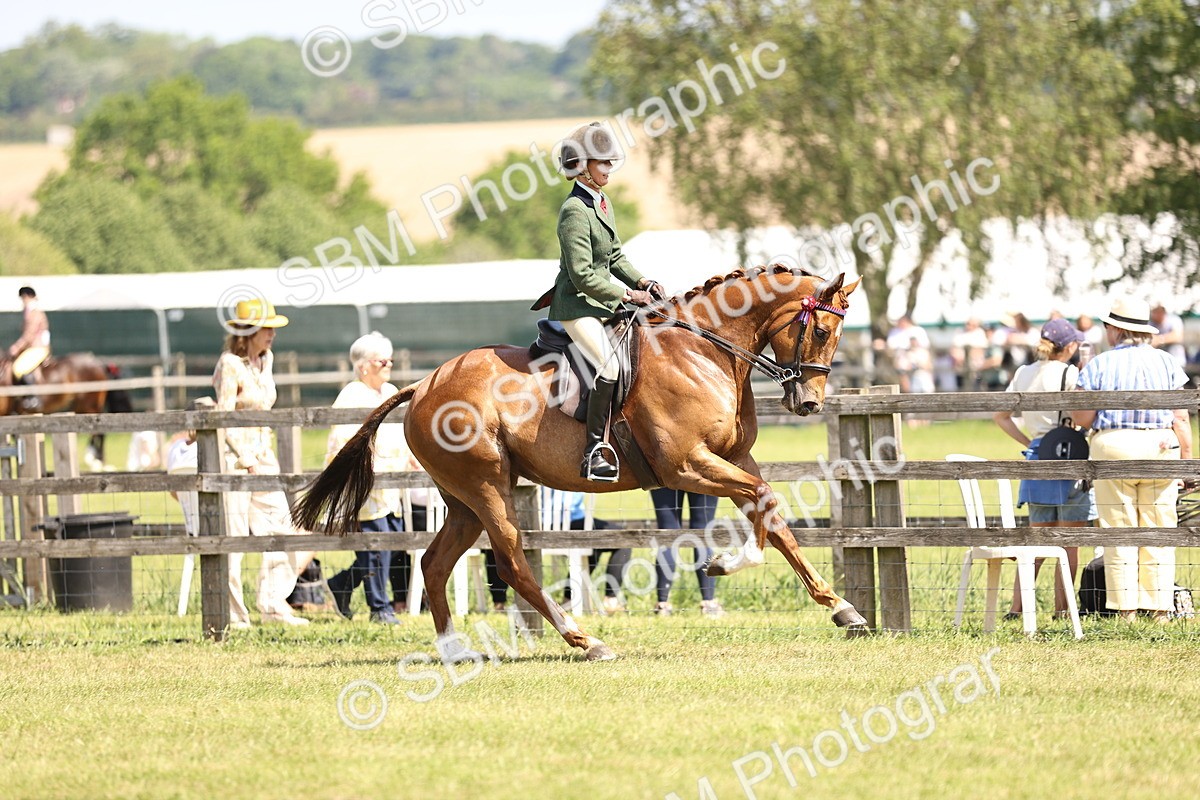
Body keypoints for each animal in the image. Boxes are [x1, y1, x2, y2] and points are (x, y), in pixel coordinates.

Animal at [295, 266, 866, 661]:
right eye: (820, 332)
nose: (809, 404)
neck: (703, 353)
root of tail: (422, 385)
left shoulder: (732, 457)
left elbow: (773, 515)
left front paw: (843, 609)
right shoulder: (686, 466)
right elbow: (761, 499)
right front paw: (727, 562)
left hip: (461, 500)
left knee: (435, 564)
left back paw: (454, 649)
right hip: (487, 488)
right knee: (512, 562)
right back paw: (585, 640)